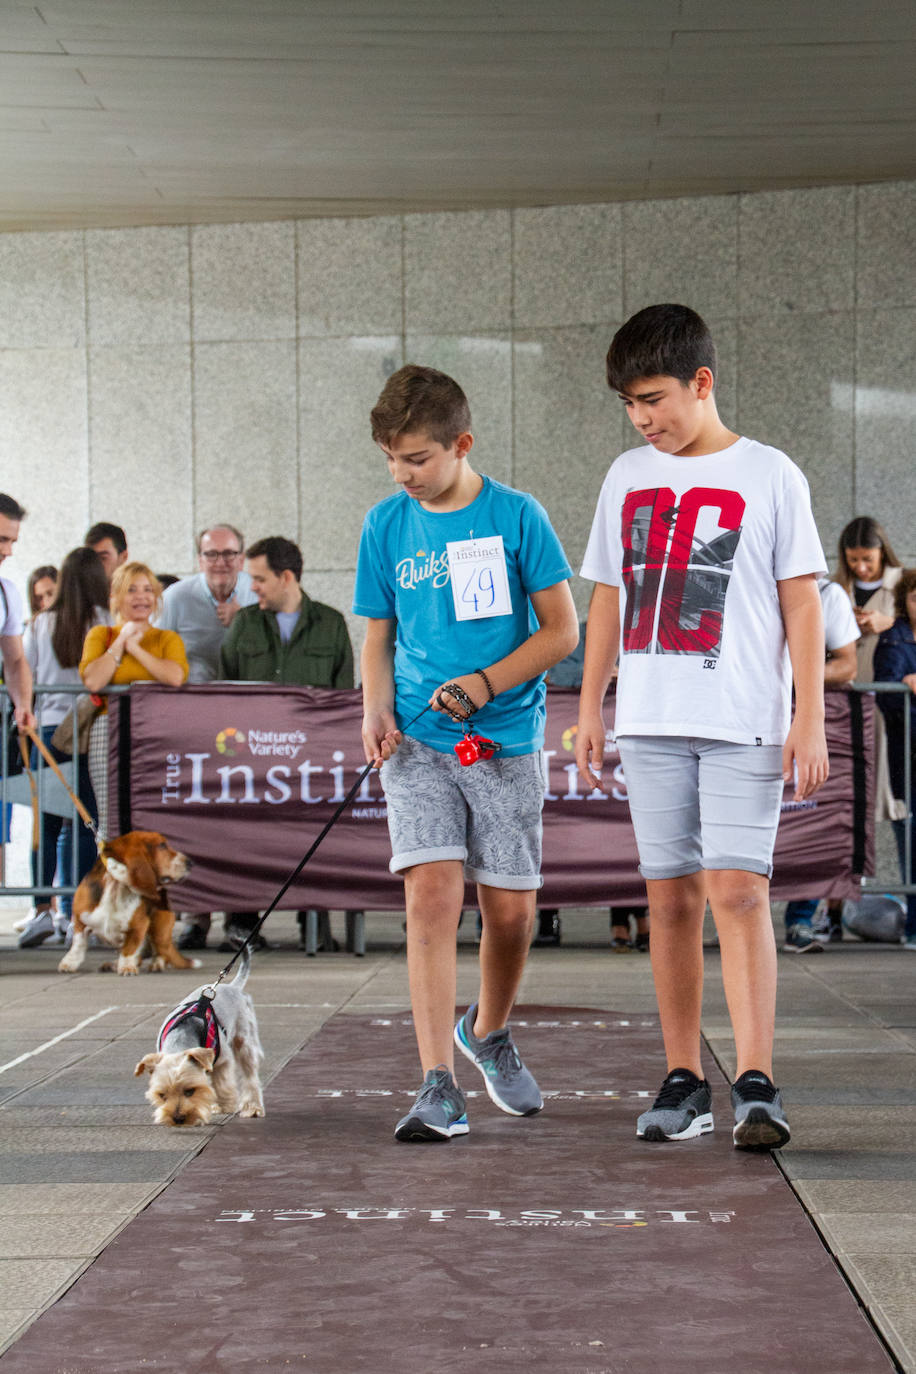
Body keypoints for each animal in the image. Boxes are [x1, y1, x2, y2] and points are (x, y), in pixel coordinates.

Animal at [58, 824, 200, 978]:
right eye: (162, 845)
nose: (190, 863)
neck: (117, 885)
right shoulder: (80, 920)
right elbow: (78, 944)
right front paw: (69, 963)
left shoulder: (138, 927)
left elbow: (130, 949)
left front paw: (127, 967)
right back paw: (113, 964)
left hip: (160, 932)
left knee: (161, 952)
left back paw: (156, 964)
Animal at [135, 945, 265, 1126]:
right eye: (162, 1095)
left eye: (190, 1091)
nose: (178, 1119)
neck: (180, 1039)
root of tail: (233, 987)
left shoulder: (223, 1061)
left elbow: (222, 1084)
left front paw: (225, 1104)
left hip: (244, 1041)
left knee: (250, 1075)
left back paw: (252, 1108)